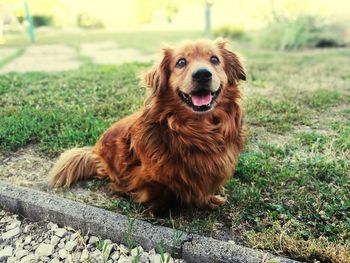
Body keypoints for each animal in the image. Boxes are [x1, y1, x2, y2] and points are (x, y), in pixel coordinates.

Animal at [49, 39, 246, 214]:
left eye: (214, 59)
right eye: (181, 62)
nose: (203, 74)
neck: (197, 132)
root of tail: (94, 153)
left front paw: (209, 200)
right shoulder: (146, 174)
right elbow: (160, 192)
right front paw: (158, 210)